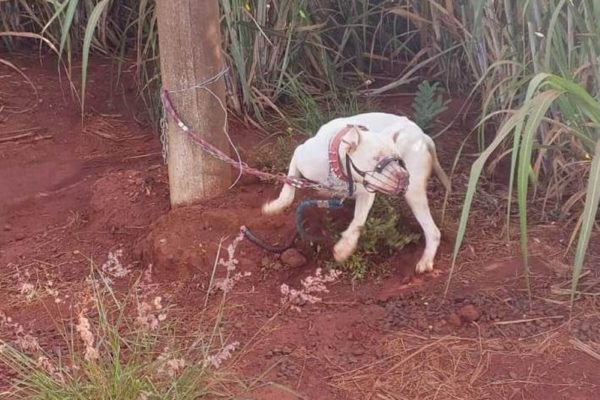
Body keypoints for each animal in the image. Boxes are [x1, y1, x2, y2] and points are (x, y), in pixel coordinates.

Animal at [262, 112, 450, 276]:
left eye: (398, 159)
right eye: (376, 158)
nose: (404, 176)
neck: (338, 165)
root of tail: (423, 136)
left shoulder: (366, 193)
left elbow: (358, 221)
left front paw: (344, 247)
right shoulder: (299, 154)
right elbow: (289, 186)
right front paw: (275, 206)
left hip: (414, 193)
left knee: (433, 231)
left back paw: (426, 260)